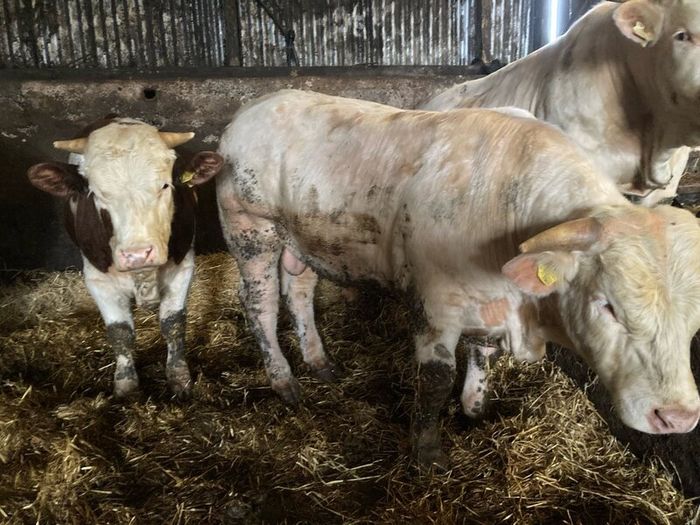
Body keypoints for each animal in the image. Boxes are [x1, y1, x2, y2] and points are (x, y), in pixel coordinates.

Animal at [27, 117, 223, 400]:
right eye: (97, 194)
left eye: (165, 185)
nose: (137, 254)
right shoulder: (98, 279)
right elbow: (120, 332)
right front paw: (126, 387)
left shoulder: (183, 266)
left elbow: (173, 324)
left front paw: (179, 379)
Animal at [216, 89, 700, 470]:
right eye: (608, 306)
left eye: (694, 322)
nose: (676, 417)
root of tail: (252, 108)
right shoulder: (435, 308)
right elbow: (435, 381)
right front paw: (428, 452)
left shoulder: (488, 304)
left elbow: (481, 355)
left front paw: (475, 407)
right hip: (251, 232)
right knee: (261, 307)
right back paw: (284, 381)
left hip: (305, 244)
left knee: (299, 294)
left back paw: (319, 362)